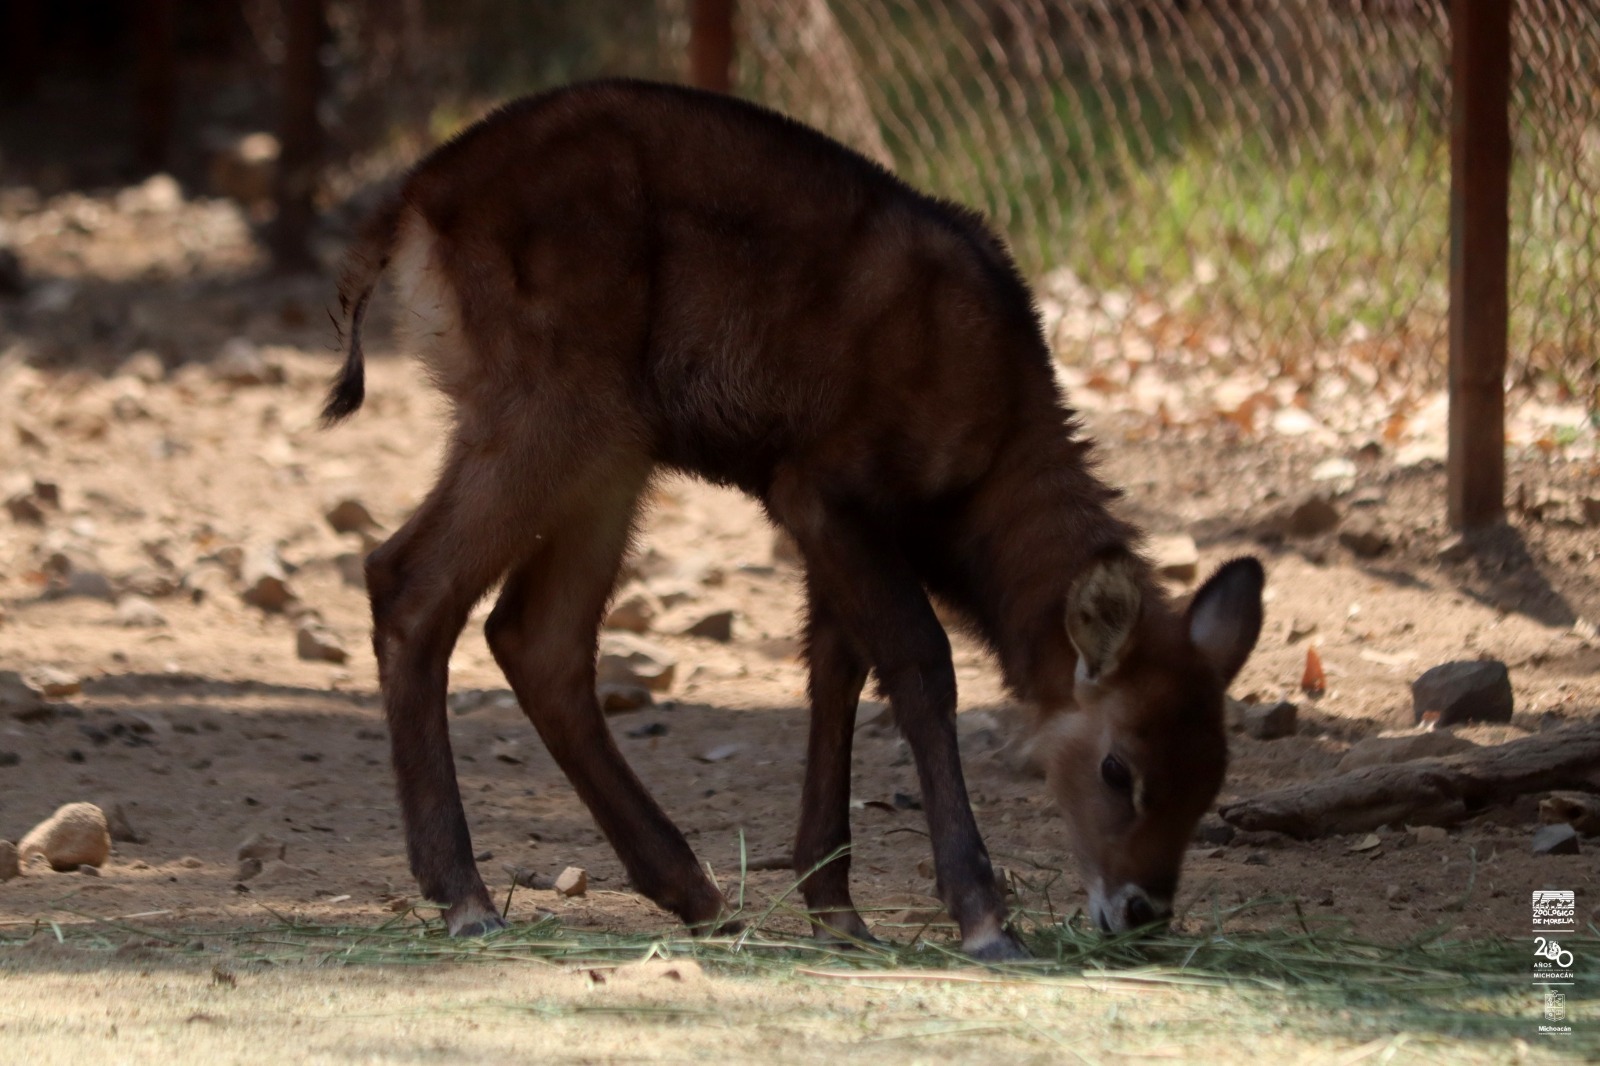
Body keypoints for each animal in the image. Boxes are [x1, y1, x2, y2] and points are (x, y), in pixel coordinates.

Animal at [328, 80, 1260, 953]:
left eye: (1213, 775)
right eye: (1117, 766)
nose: (1140, 910)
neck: (989, 453)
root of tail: (412, 204)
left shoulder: (835, 522)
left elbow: (834, 674)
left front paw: (837, 908)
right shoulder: (822, 485)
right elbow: (921, 664)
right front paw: (983, 916)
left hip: (613, 449)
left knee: (537, 637)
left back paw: (698, 895)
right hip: (551, 412)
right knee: (408, 580)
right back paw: (466, 897)